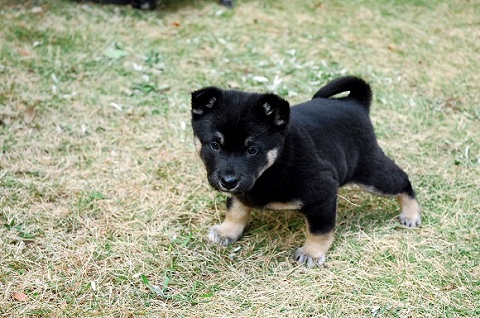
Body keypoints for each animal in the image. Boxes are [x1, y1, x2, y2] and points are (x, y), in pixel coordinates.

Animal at [189, 76, 422, 268]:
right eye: (215, 145)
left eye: (252, 150)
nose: (228, 181)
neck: (273, 166)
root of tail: (355, 103)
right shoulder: (241, 190)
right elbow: (235, 209)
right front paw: (227, 231)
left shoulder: (323, 194)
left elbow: (320, 230)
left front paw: (312, 253)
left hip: (371, 173)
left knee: (402, 180)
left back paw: (411, 214)